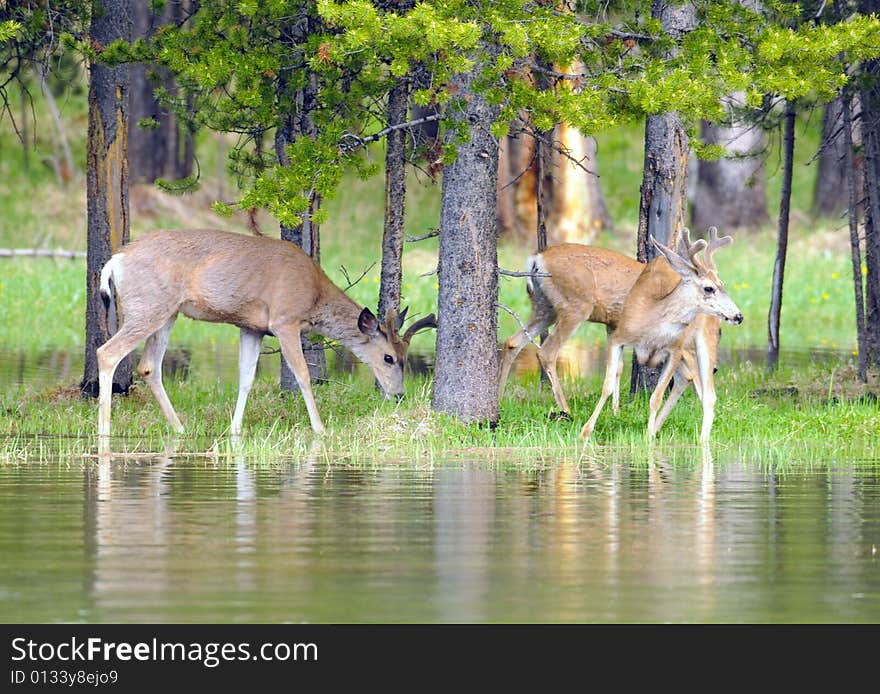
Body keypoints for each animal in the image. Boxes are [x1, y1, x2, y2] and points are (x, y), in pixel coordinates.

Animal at [97, 228, 436, 452]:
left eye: (405, 356)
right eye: (388, 357)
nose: (399, 394)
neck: (314, 295)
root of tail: (115, 261)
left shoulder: (252, 327)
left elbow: (246, 377)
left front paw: (234, 430)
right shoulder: (284, 320)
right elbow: (302, 375)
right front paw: (320, 429)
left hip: (167, 312)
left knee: (148, 366)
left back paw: (180, 428)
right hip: (148, 306)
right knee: (107, 352)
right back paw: (104, 430)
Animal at [576, 228, 744, 446]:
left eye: (723, 285)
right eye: (709, 288)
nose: (738, 316)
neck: (651, 329)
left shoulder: (674, 349)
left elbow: (656, 396)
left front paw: (648, 438)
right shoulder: (618, 338)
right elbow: (608, 385)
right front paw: (585, 432)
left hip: (703, 339)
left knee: (708, 393)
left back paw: (701, 440)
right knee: (687, 379)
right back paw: (661, 429)